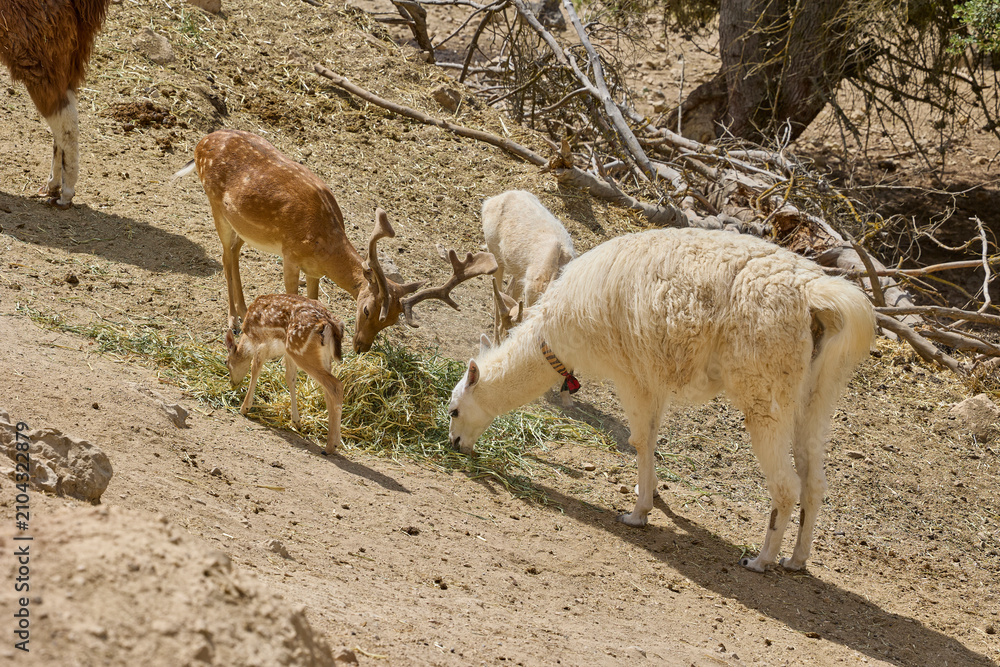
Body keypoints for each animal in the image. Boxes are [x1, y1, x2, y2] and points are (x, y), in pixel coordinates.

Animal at [173, 129, 498, 353]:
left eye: (392, 321)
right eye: (366, 310)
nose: (362, 347)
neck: (323, 244)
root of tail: (201, 142)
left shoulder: (314, 270)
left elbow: (314, 300)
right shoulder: (290, 255)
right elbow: (293, 296)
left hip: (241, 225)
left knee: (234, 252)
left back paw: (243, 311)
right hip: (216, 204)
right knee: (225, 255)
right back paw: (233, 320)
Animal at [225, 293, 345, 455]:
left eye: (226, 362)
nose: (232, 383)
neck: (248, 337)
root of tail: (332, 326)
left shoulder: (262, 343)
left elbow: (255, 368)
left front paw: (244, 408)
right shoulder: (286, 353)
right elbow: (290, 378)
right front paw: (296, 422)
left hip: (302, 352)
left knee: (336, 385)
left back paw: (330, 446)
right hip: (319, 356)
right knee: (327, 390)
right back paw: (333, 442)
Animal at [448, 227, 875, 572]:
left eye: (454, 410)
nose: (454, 443)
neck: (556, 333)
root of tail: (815, 294)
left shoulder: (631, 373)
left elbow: (640, 441)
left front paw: (636, 514)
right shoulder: (654, 378)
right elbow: (651, 441)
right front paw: (652, 496)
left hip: (765, 389)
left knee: (787, 485)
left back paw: (760, 560)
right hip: (817, 394)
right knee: (815, 481)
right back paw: (796, 561)